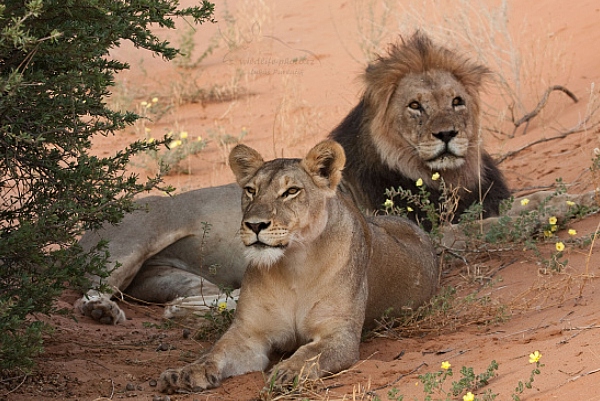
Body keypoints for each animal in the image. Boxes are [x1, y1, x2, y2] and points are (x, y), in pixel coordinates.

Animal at [157, 141, 438, 394]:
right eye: (250, 190)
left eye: (291, 191)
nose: (255, 225)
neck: (293, 266)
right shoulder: (248, 334)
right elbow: (215, 352)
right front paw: (185, 373)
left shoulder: (340, 335)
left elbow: (310, 354)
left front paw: (287, 373)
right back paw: (177, 308)